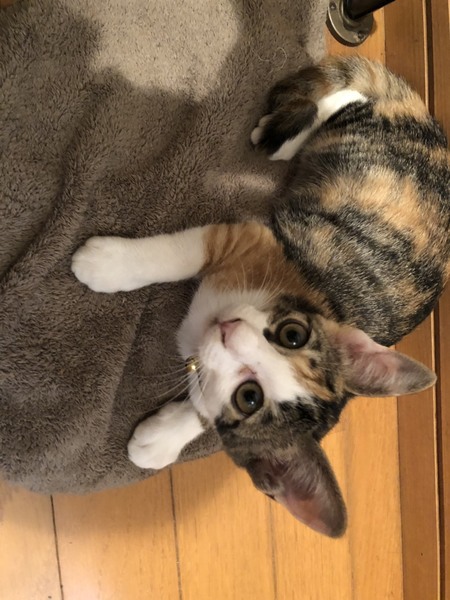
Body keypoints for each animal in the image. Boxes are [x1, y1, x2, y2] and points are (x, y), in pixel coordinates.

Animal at [71, 55, 450, 537]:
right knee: (342, 101)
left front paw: (163, 438)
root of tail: (426, 119)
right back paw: (289, 130)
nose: (230, 331)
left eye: (248, 398)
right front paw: (108, 264)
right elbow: (174, 253)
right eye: (292, 334)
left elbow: (203, 407)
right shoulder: (254, 239)